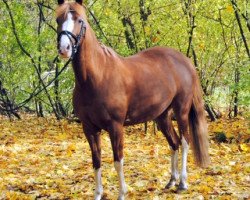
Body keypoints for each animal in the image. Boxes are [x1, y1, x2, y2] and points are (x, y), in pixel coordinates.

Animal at [55, 0, 210, 199]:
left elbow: (118, 161)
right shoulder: (89, 128)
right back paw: (171, 181)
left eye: (80, 20)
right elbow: (96, 161)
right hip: (162, 116)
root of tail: (185, 60)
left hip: (181, 110)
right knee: (174, 143)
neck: (96, 77)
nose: (64, 49)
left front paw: (122, 193)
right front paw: (98, 194)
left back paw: (182, 183)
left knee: (184, 142)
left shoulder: (115, 127)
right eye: (59, 19)